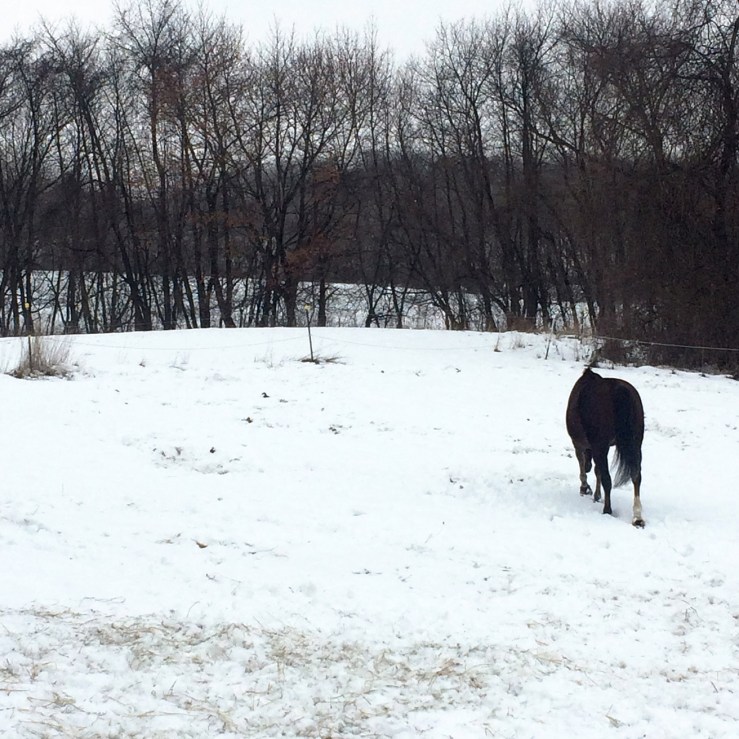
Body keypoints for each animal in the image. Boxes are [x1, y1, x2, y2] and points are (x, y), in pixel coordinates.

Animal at [566, 367, 645, 527]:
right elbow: (597, 471)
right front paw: (596, 494)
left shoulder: (580, 444)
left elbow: (584, 467)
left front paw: (585, 488)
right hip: (635, 444)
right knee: (636, 476)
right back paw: (637, 517)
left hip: (599, 446)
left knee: (607, 479)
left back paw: (607, 509)